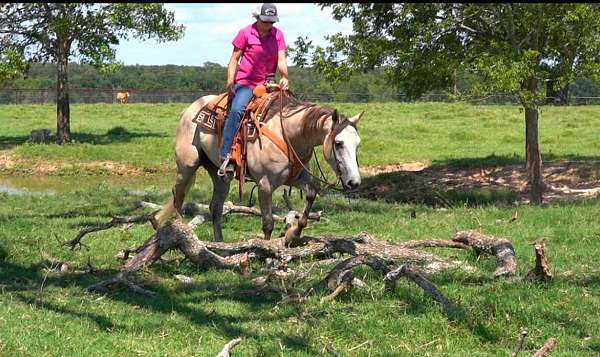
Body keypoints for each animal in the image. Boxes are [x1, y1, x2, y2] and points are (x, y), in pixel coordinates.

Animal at [155, 91, 364, 242]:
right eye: (338, 143)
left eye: (358, 143)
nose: (354, 182)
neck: (289, 135)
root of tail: (188, 110)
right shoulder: (265, 185)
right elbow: (268, 223)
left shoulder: (296, 178)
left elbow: (311, 194)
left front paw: (294, 233)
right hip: (187, 165)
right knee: (178, 196)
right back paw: (182, 233)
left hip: (219, 174)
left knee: (215, 207)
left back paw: (219, 243)